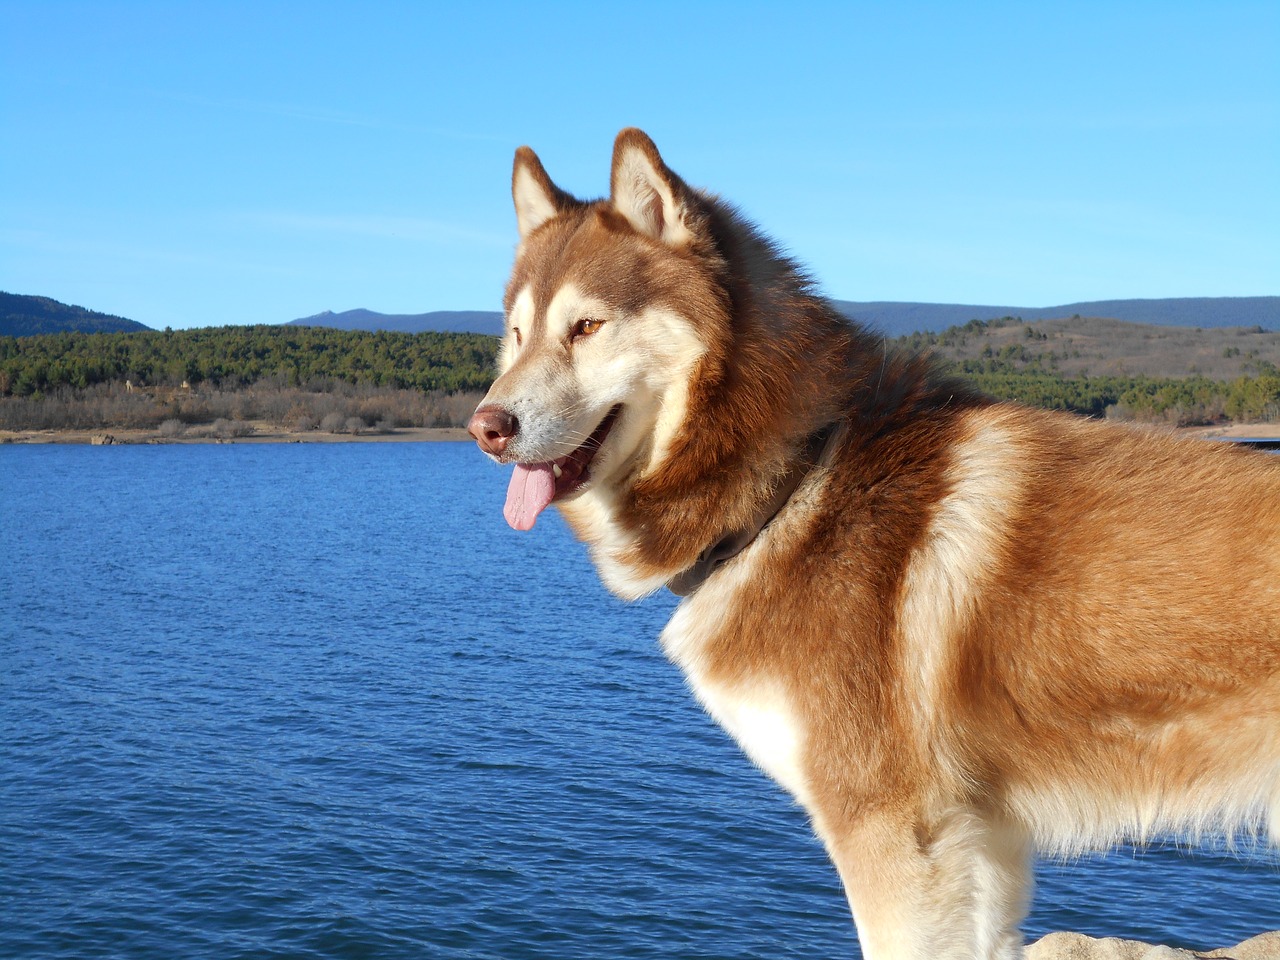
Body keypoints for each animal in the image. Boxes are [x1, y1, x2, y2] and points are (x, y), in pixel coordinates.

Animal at [468, 129, 1280, 960]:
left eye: (586, 327)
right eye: (516, 333)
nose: (484, 427)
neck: (795, 479)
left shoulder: (892, 837)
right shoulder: (980, 851)